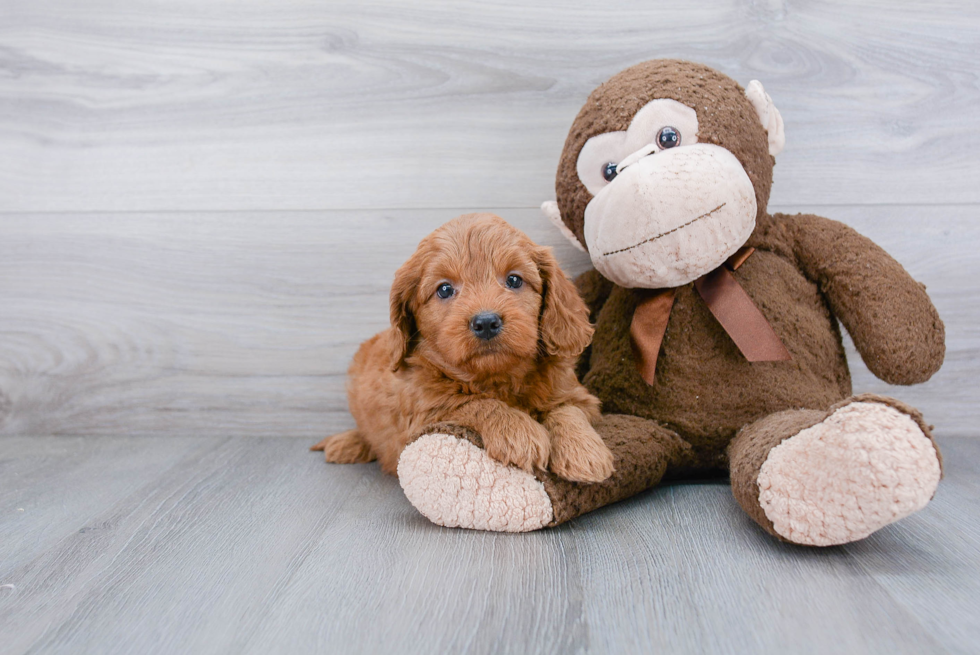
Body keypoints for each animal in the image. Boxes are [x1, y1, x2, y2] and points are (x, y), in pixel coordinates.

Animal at [312, 214, 612, 482]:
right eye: (444, 289)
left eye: (514, 280)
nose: (487, 322)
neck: (497, 378)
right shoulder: (423, 413)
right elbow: (472, 402)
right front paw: (518, 431)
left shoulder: (579, 396)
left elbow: (567, 409)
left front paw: (584, 451)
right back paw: (348, 442)